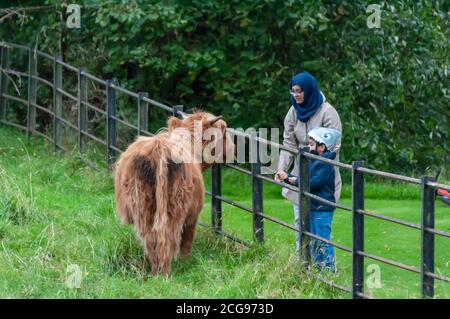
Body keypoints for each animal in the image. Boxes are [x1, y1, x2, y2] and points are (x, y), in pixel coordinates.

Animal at [114, 111, 236, 276]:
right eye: (224, 129)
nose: (233, 148)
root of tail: (158, 149)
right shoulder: (193, 215)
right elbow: (187, 240)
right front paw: (185, 261)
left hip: (142, 205)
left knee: (151, 237)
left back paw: (156, 272)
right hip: (176, 206)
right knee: (168, 236)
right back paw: (166, 272)